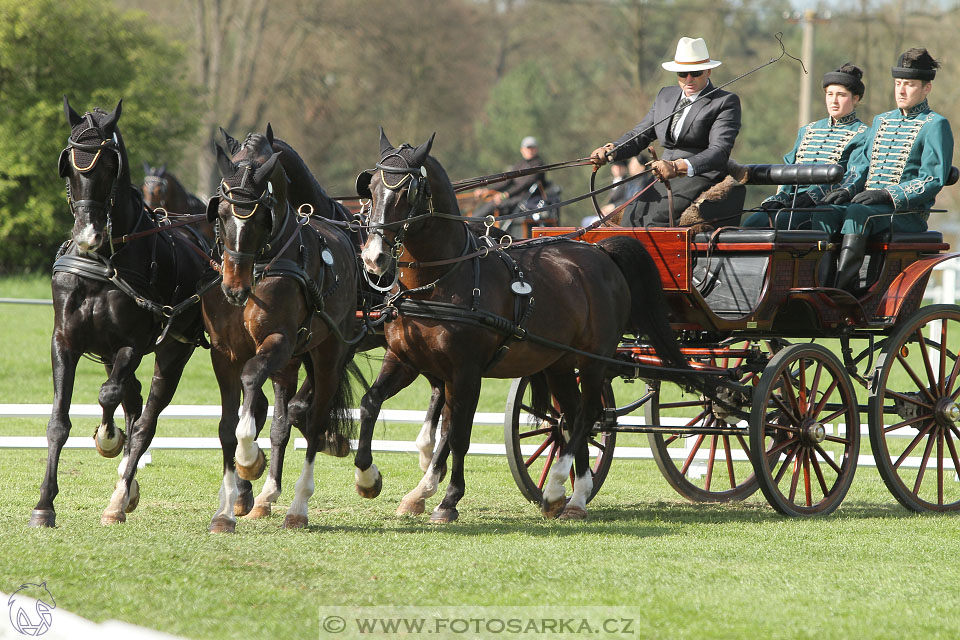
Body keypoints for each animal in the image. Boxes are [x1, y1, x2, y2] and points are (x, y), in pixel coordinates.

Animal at [30, 97, 212, 528]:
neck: (103, 262)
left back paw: (118, 497)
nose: (88, 235)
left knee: (145, 418)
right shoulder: (64, 341)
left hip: (173, 351)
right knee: (134, 400)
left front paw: (107, 438)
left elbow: (108, 393)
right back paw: (125, 488)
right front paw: (44, 505)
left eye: (109, 166)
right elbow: (58, 422)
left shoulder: (132, 344)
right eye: (69, 165)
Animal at [201, 125, 358, 528]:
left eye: (262, 214)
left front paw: (249, 460)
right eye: (219, 212)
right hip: (290, 363)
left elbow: (250, 385)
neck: (261, 266)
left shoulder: (278, 342)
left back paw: (298, 507)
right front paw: (226, 511)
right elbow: (227, 426)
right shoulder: (224, 353)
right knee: (283, 422)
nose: (234, 288)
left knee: (314, 422)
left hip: (327, 354)